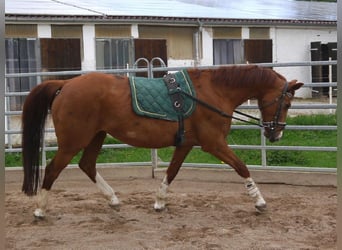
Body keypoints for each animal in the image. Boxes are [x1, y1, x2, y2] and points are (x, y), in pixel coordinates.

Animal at [21, 65, 302, 218]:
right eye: (287, 103)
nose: (275, 135)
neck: (213, 91)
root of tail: (65, 84)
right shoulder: (214, 143)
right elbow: (241, 167)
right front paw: (260, 201)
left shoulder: (186, 144)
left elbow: (172, 172)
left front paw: (159, 201)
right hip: (73, 141)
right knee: (53, 169)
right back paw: (40, 210)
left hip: (96, 136)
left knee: (87, 165)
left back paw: (113, 199)